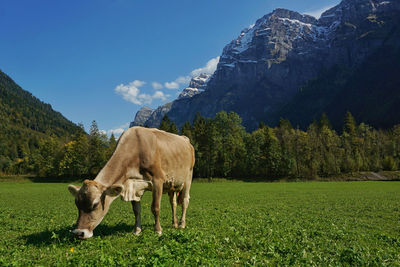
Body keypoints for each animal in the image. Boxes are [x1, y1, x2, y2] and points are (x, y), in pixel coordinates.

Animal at [67, 126, 195, 240]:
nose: (79, 233)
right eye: (77, 204)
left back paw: (182, 224)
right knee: (173, 203)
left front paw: (158, 230)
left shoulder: (158, 180)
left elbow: (155, 208)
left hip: (188, 177)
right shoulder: (133, 186)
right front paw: (137, 231)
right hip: (172, 185)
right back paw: (174, 224)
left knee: (185, 200)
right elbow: (136, 210)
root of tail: (186, 140)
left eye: (95, 204)